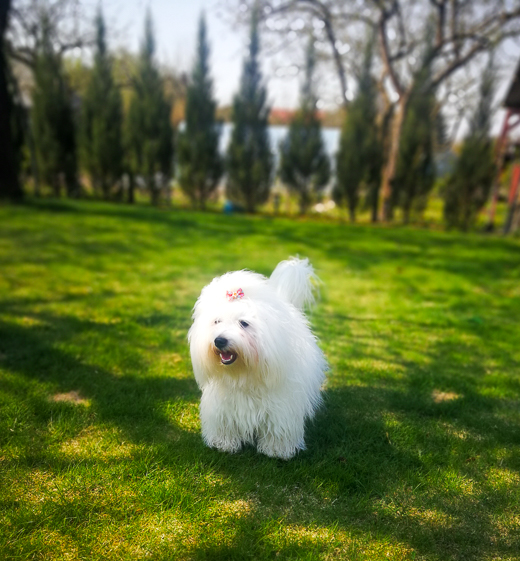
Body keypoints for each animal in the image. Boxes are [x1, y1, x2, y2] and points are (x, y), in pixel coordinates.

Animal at [188, 258, 324, 460]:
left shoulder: (281, 406)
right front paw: (224, 444)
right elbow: (224, 424)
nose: (219, 340)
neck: (244, 373)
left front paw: (276, 450)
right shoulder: (222, 406)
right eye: (217, 321)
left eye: (244, 323)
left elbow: (278, 428)